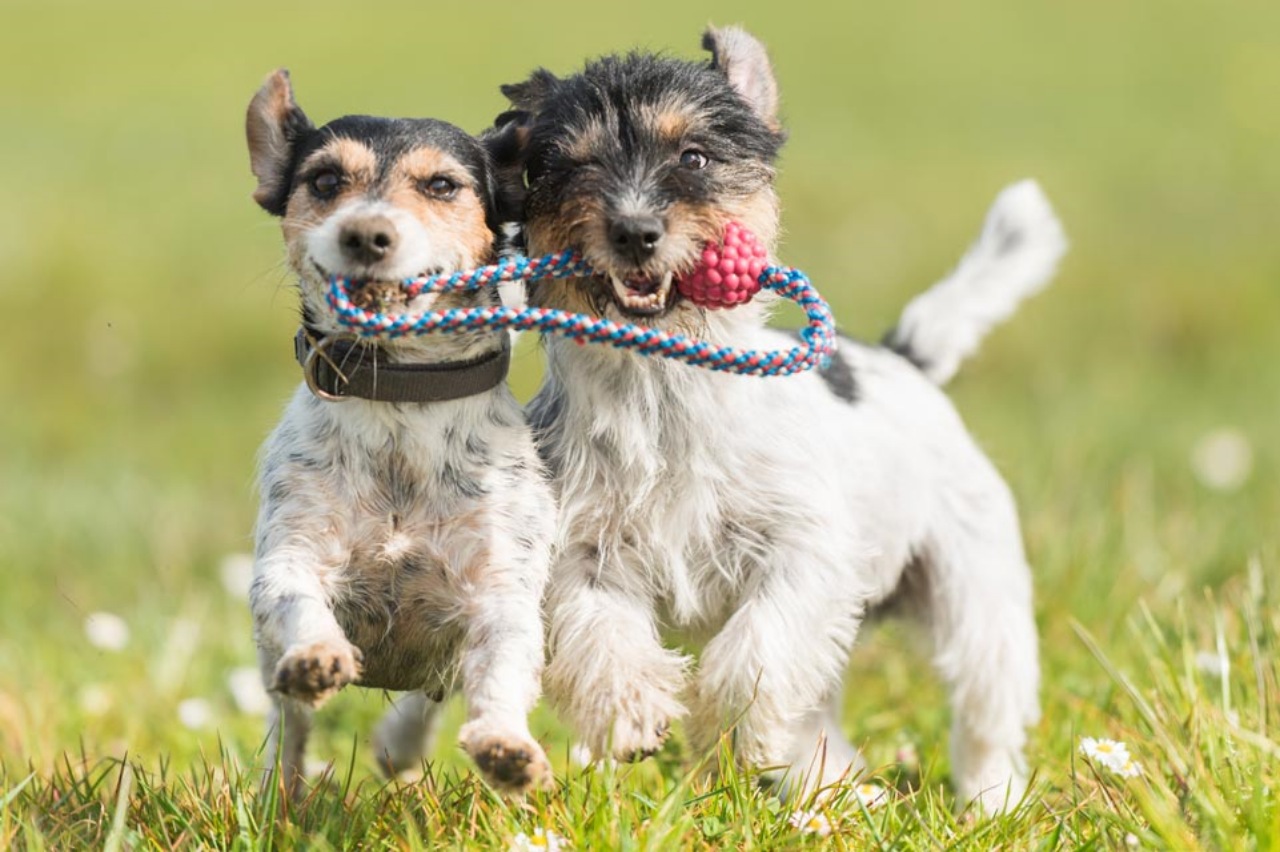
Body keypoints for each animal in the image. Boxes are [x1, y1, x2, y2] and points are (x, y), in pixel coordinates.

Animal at [244, 69, 555, 793]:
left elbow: (502, 669)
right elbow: (295, 597)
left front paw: (505, 745)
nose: (365, 234)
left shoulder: (501, 589)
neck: (401, 398)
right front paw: (317, 654)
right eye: (326, 179)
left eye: (441, 185)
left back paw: (401, 745)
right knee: (288, 727)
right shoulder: (290, 552)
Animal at [499, 28, 1070, 808]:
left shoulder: (804, 550)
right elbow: (601, 636)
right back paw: (833, 788)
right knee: (819, 710)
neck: (663, 386)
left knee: (986, 706)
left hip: (976, 591)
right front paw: (633, 710)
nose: (635, 231)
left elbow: (758, 650)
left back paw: (991, 802)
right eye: (570, 165)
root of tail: (906, 360)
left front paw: (729, 729)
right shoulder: (584, 550)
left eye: (694, 157)